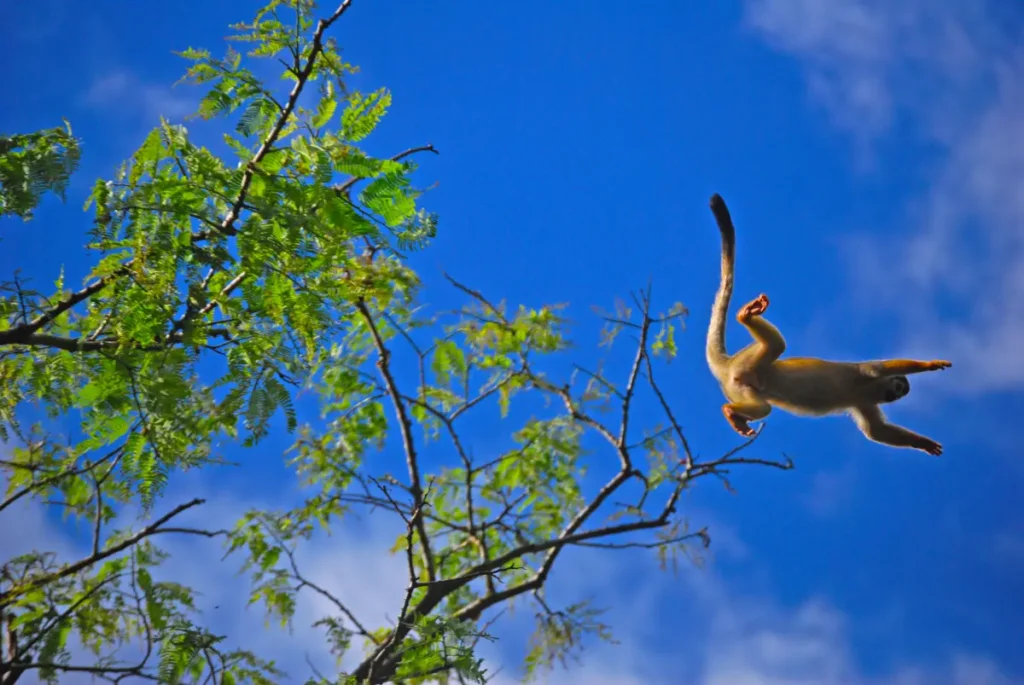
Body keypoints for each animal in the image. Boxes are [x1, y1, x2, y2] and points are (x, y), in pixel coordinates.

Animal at [705, 193, 951, 456]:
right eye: (897, 388)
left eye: (899, 394)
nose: (893, 396)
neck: (868, 390)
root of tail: (729, 364)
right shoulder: (865, 376)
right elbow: (877, 368)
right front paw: (930, 364)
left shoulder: (864, 401)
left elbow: (876, 431)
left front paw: (922, 443)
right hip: (747, 361)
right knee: (777, 347)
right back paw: (745, 317)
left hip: (740, 388)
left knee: (763, 407)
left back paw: (732, 413)